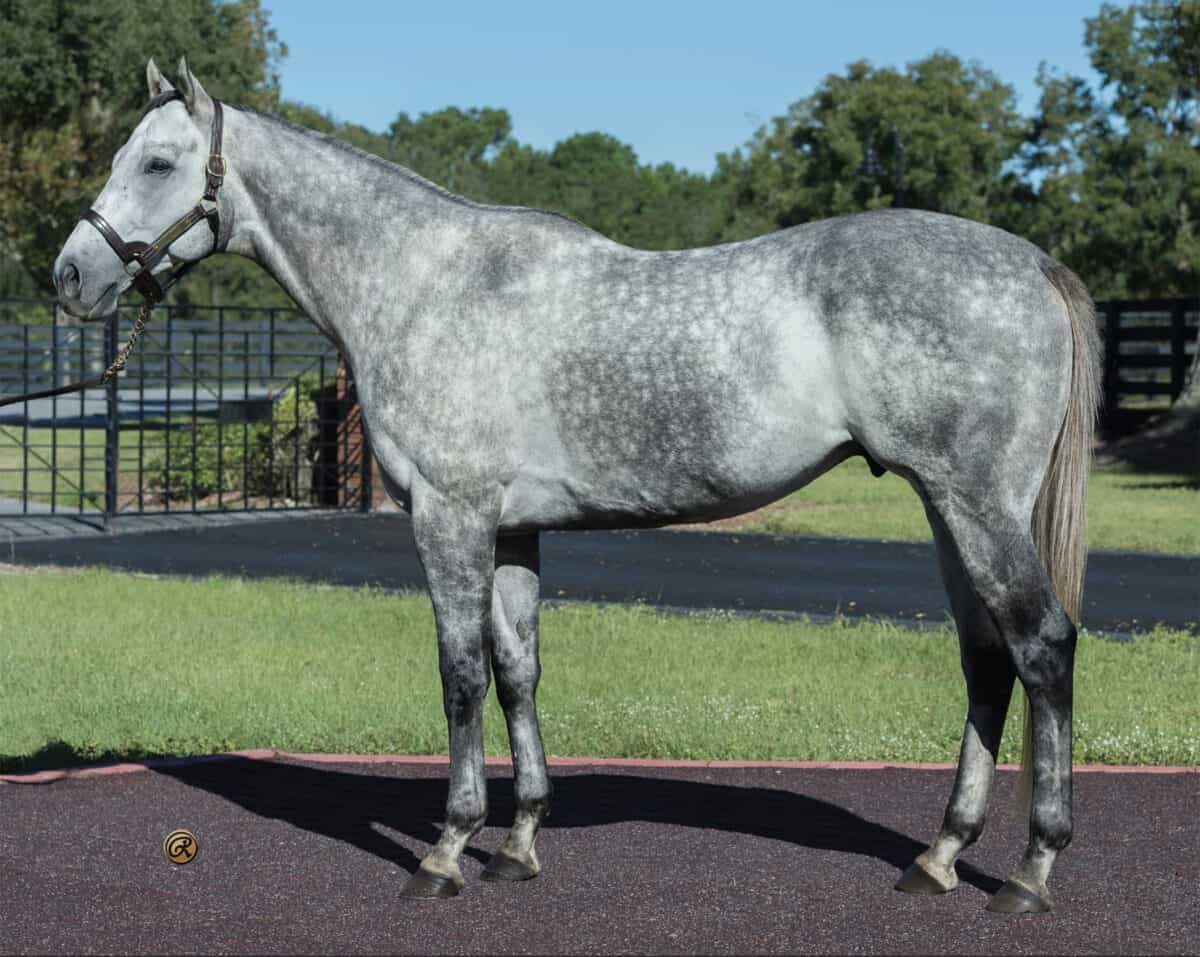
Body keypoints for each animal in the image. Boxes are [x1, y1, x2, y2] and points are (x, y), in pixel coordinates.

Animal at [52, 58, 1101, 914]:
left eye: (157, 165)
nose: (69, 275)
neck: (424, 286)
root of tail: (1031, 263)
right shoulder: (514, 530)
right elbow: (518, 670)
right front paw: (517, 844)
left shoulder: (451, 516)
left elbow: (461, 674)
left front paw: (445, 849)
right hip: (947, 508)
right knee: (986, 660)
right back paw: (939, 856)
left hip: (976, 505)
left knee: (1041, 645)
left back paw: (1031, 871)